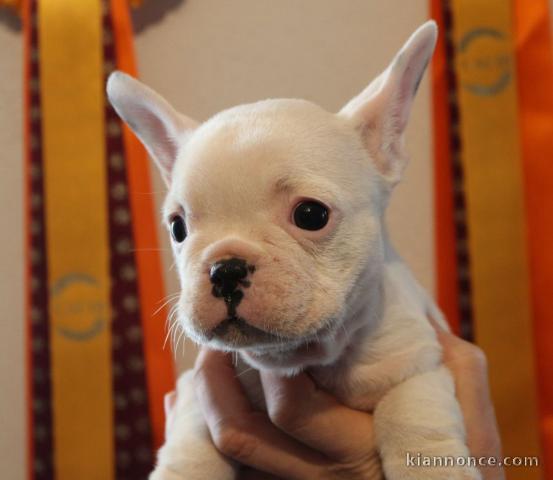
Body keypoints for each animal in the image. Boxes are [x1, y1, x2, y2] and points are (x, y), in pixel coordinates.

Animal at [106, 20, 478, 478]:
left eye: (311, 215)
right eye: (178, 228)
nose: (225, 269)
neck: (308, 360)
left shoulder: (416, 362)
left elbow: (413, 419)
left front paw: (431, 466)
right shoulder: (198, 385)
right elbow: (191, 441)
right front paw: (183, 467)